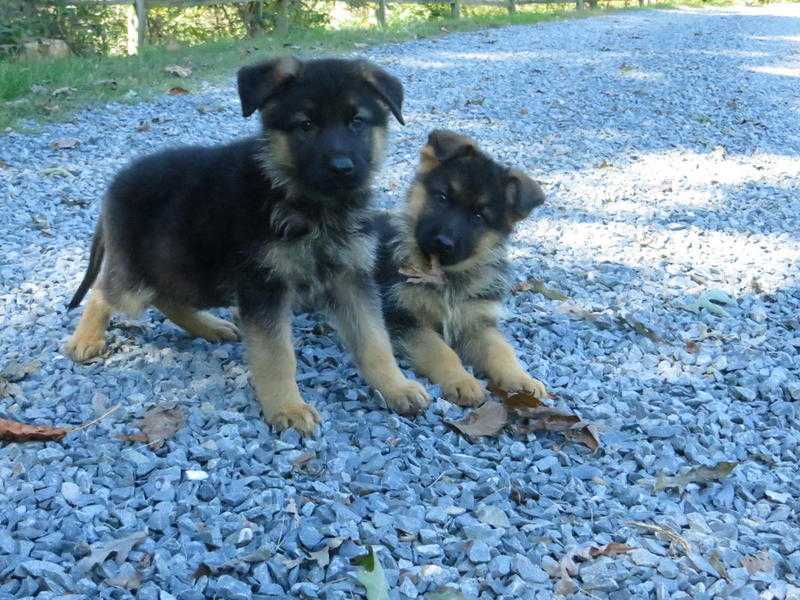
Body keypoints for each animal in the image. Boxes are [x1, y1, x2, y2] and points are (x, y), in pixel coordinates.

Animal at [65, 57, 432, 432]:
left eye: (357, 122)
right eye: (305, 125)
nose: (342, 168)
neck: (305, 203)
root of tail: (114, 186)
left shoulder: (352, 278)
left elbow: (375, 340)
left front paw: (395, 386)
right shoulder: (264, 286)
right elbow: (276, 354)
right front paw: (287, 407)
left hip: (188, 269)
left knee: (165, 298)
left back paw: (209, 327)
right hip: (143, 274)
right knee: (103, 293)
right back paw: (86, 339)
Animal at [370, 129, 552, 406]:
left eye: (478, 215)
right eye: (442, 197)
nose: (443, 243)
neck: (444, 277)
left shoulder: (477, 322)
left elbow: (502, 349)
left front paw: (521, 379)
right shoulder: (403, 318)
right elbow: (440, 350)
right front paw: (462, 381)